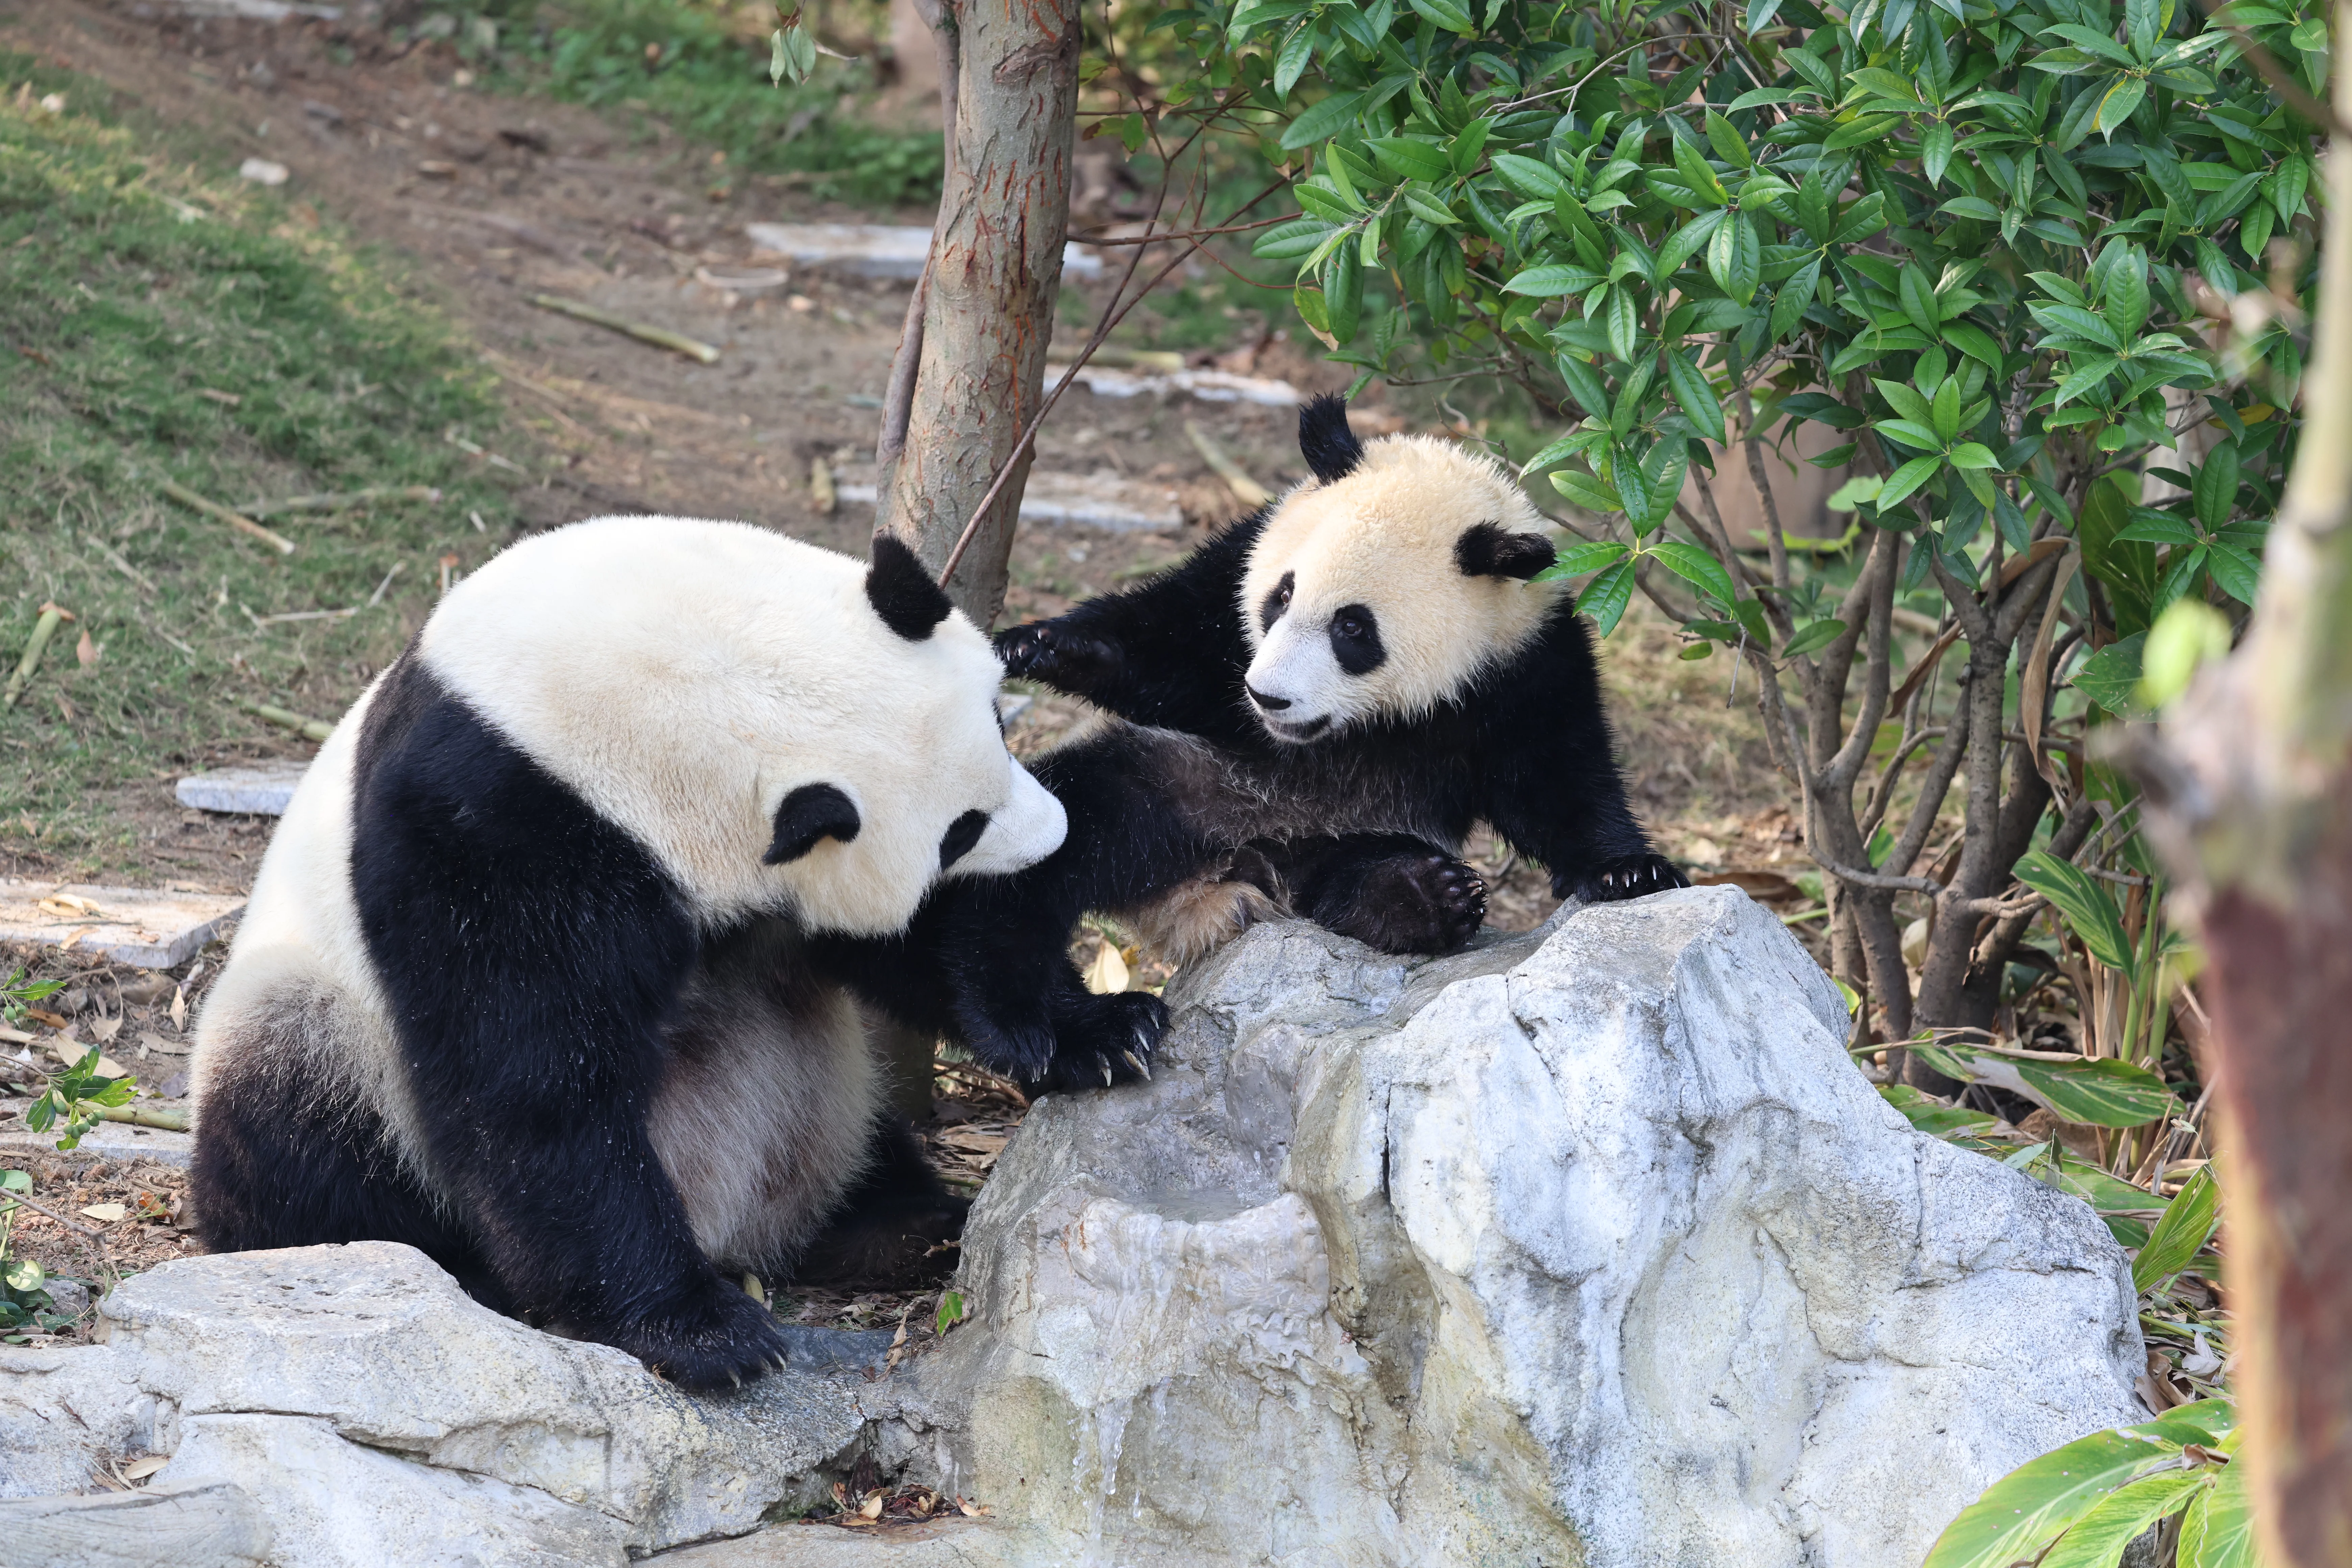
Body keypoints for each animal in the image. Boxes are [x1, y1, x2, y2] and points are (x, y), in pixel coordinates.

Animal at [190, 519, 1073, 1390]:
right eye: (958, 830)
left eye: (1000, 722)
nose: (1053, 833)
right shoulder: (489, 817)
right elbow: (531, 1076)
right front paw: (704, 1332)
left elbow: (906, 946)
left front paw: (1074, 1032)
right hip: (324, 1021)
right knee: (298, 1108)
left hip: (826, 1107)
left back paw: (898, 1221)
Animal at [813, 397, 1682, 1086]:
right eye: (1281, 596)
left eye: (1354, 630)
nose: (1267, 696)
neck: (1362, 726)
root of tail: (1225, 877)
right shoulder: (1235, 576)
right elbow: (1164, 647)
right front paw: (1037, 645)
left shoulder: (1524, 657)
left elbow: (1560, 775)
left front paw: (1630, 870)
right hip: (1178, 778)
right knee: (1041, 856)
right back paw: (1077, 1034)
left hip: (1328, 833)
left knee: (1348, 876)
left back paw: (1419, 895)